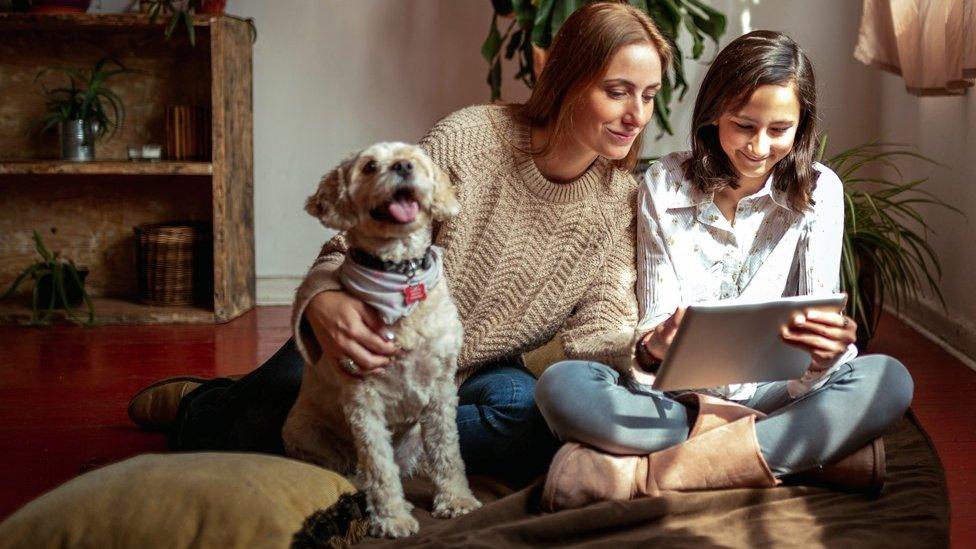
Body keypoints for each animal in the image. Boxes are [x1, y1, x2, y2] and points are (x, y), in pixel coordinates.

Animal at [282, 140, 480, 536]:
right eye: (370, 166)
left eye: (414, 159)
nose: (403, 166)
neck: (401, 275)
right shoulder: (363, 401)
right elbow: (379, 467)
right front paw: (392, 518)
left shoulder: (440, 392)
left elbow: (447, 452)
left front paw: (455, 500)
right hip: (306, 434)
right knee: (355, 473)